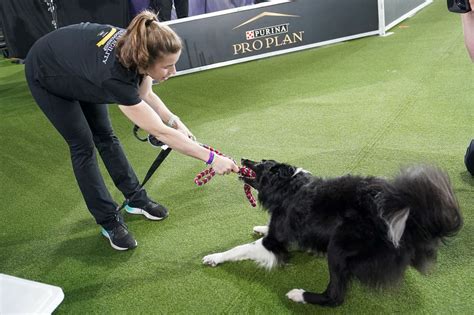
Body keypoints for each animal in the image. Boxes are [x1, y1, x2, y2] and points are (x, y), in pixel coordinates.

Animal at [202, 159, 462, 308]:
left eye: (259, 164)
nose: (242, 159)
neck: (288, 186)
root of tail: (413, 220)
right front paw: (260, 226)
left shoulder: (273, 244)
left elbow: (240, 249)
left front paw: (215, 257)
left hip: (339, 246)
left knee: (335, 297)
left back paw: (300, 295)